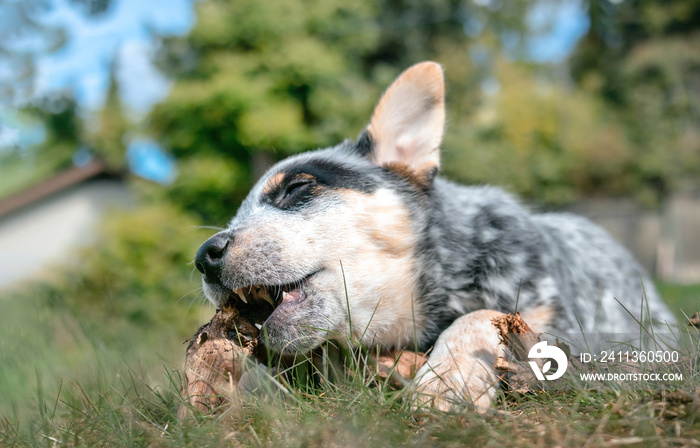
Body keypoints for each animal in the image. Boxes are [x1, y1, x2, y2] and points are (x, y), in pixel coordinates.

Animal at [194, 61, 676, 412]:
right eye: (237, 213)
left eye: (295, 187)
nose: (204, 256)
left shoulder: (567, 334)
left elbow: (482, 315)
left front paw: (448, 380)